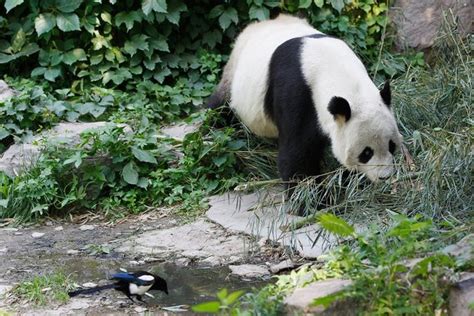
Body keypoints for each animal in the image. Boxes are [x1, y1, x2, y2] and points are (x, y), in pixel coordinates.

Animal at [206, 14, 400, 207]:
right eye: (366, 153)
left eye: (391, 145)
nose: (384, 177)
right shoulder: (296, 93)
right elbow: (296, 155)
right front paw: (312, 201)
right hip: (233, 77)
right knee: (219, 109)